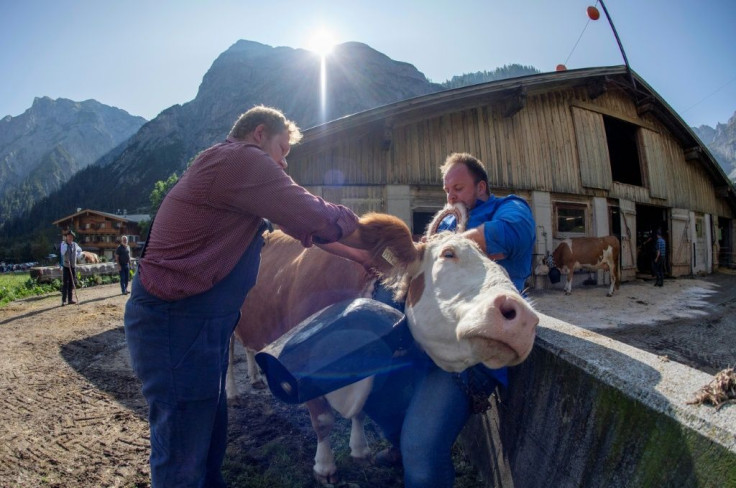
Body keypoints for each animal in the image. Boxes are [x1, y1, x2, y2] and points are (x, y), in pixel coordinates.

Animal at [227, 207, 536, 484]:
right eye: (448, 253)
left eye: (502, 266)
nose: (525, 318)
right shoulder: (302, 367)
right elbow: (323, 420)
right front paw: (325, 467)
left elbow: (362, 411)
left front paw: (360, 450)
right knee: (229, 355)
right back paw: (232, 392)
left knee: (249, 347)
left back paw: (255, 378)